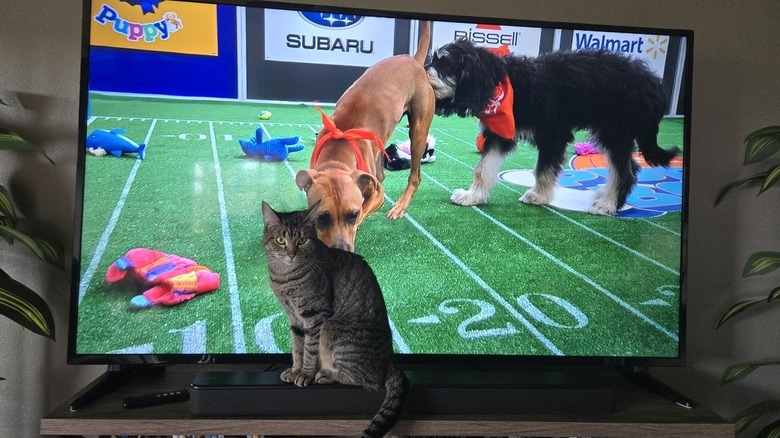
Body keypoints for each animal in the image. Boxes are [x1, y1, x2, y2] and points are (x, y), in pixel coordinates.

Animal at [260, 200, 408, 436]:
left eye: (302, 240)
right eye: (281, 240)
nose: (291, 254)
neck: (285, 278)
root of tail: (391, 359)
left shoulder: (315, 316)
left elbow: (309, 350)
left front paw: (305, 373)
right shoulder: (295, 320)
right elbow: (297, 348)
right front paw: (295, 370)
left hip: (332, 328)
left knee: (368, 381)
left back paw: (326, 375)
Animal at [296, 21, 436, 253]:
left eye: (353, 215)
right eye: (322, 218)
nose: (341, 251)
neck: (338, 152)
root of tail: (413, 60)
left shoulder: (376, 195)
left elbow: (367, 207)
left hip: (418, 132)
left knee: (415, 176)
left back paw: (401, 205)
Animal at [426, 40, 676, 215]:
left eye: (445, 63)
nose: (422, 69)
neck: (503, 83)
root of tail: (651, 82)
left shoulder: (553, 134)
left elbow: (543, 169)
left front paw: (539, 196)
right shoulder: (500, 134)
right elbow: (483, 168)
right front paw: (473, 196)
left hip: (615, 131)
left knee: (625, 171)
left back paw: (608, 204)